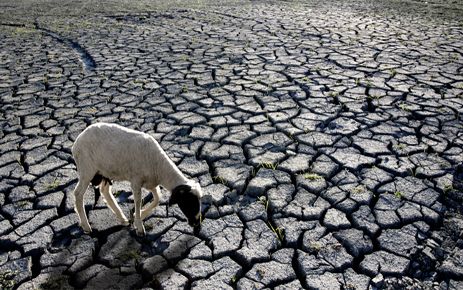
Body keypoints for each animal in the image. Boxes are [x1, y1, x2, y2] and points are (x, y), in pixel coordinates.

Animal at [71, 122, 203, 236]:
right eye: (188, 201)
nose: (197, 223)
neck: (160, 168)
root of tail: (77, 141)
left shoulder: (150, 182)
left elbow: (157, 198)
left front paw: (138, 215)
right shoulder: (136, 181)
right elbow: (138, 201)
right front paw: (139, 227)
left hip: (105, 172)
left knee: (105, 191)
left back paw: (122, 219)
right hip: (87, 169)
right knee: (78, 193)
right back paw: (86, 226)